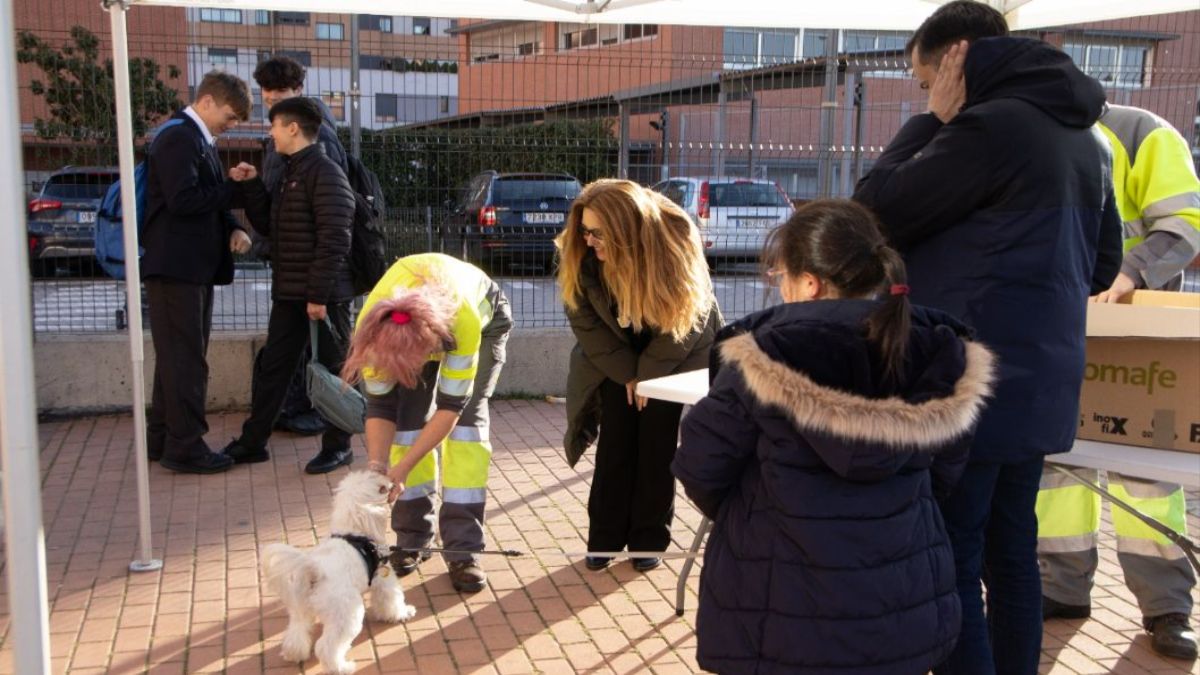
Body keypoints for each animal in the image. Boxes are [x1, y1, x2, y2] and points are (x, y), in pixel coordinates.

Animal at [262, 468, 417, 672]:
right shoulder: (384, 579)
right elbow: (392, 600)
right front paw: (402, 613)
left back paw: (294, 654)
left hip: (300, 609)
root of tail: (315, 571)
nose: (392, 482)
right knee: (326, 647)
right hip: (347, 614)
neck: (355, 531)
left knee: (297, 632)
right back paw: (342, 667)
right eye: (381, 488)